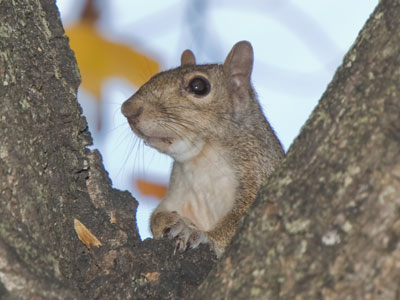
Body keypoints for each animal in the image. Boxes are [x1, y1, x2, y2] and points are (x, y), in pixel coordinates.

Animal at [122, 41, 284, 256]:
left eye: (198, 86)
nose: (128, 109)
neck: (200, 160)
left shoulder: (260, 169)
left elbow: (239, 222)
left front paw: (200, 234)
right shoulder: (178, 195)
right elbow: (156, 216)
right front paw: (168, 221)